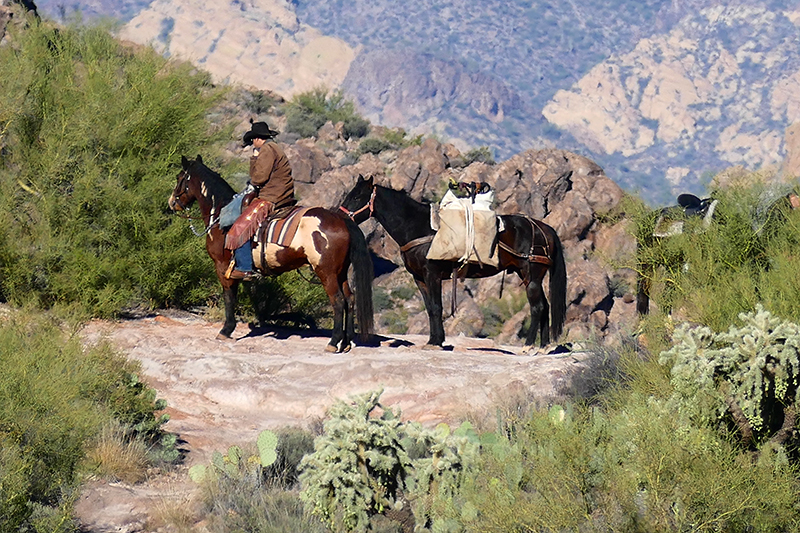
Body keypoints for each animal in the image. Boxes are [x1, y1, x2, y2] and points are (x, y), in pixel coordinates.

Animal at [167, 156, 374, 352]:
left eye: (179, 177)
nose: (171, 203)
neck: (219, 215)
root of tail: (342, 219)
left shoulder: (222, 266)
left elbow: (229, 297)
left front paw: (226, 330)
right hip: (341, 272)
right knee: (350, 299)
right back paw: (345, 343)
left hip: (327, 272)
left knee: (338, 301)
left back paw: (333, 343)